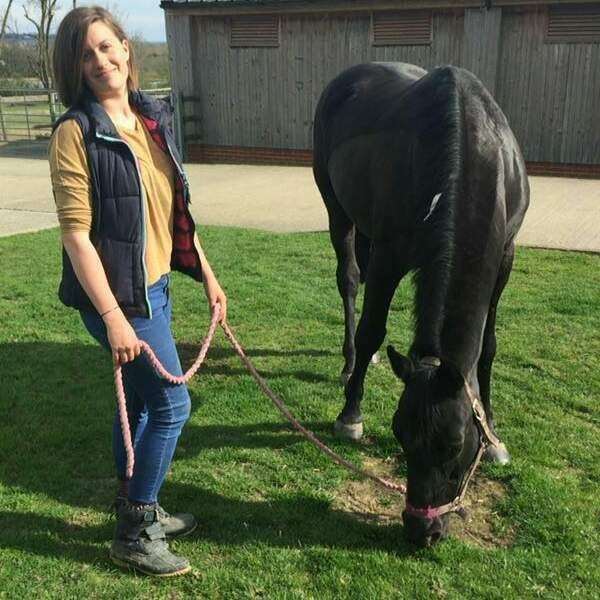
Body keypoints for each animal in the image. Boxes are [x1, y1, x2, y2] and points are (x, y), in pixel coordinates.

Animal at [314, 63, 528, 548]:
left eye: (455, 445)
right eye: (400, 434)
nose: (421, 530)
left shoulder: (505, 258)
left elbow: (488, 349)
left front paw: (494, 433)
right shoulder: (390, 256)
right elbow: (372, 328)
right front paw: (350, 415)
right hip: (339, 213)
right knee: (350, 281)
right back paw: (350, 362)